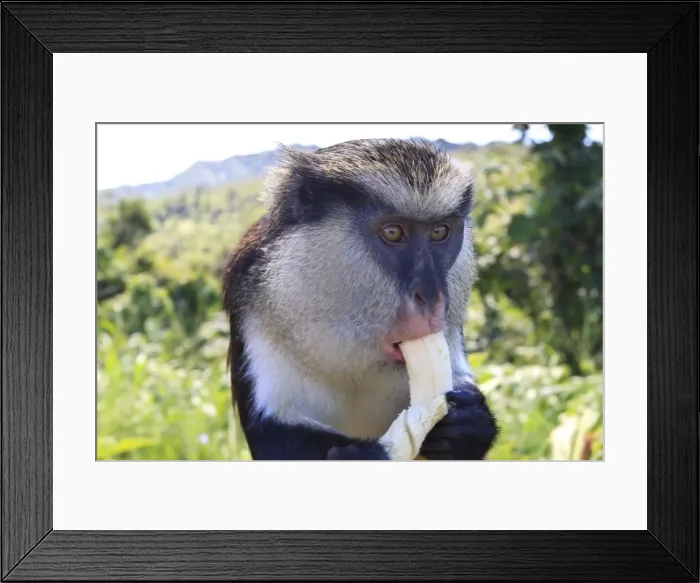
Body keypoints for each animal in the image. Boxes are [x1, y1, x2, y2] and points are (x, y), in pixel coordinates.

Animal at [222, 137, 499, 460]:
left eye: (440, 232)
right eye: (393, 232)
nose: (431, 296)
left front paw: (471, 423)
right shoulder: (251, 300)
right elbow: (272, 437)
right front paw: (364, 455)